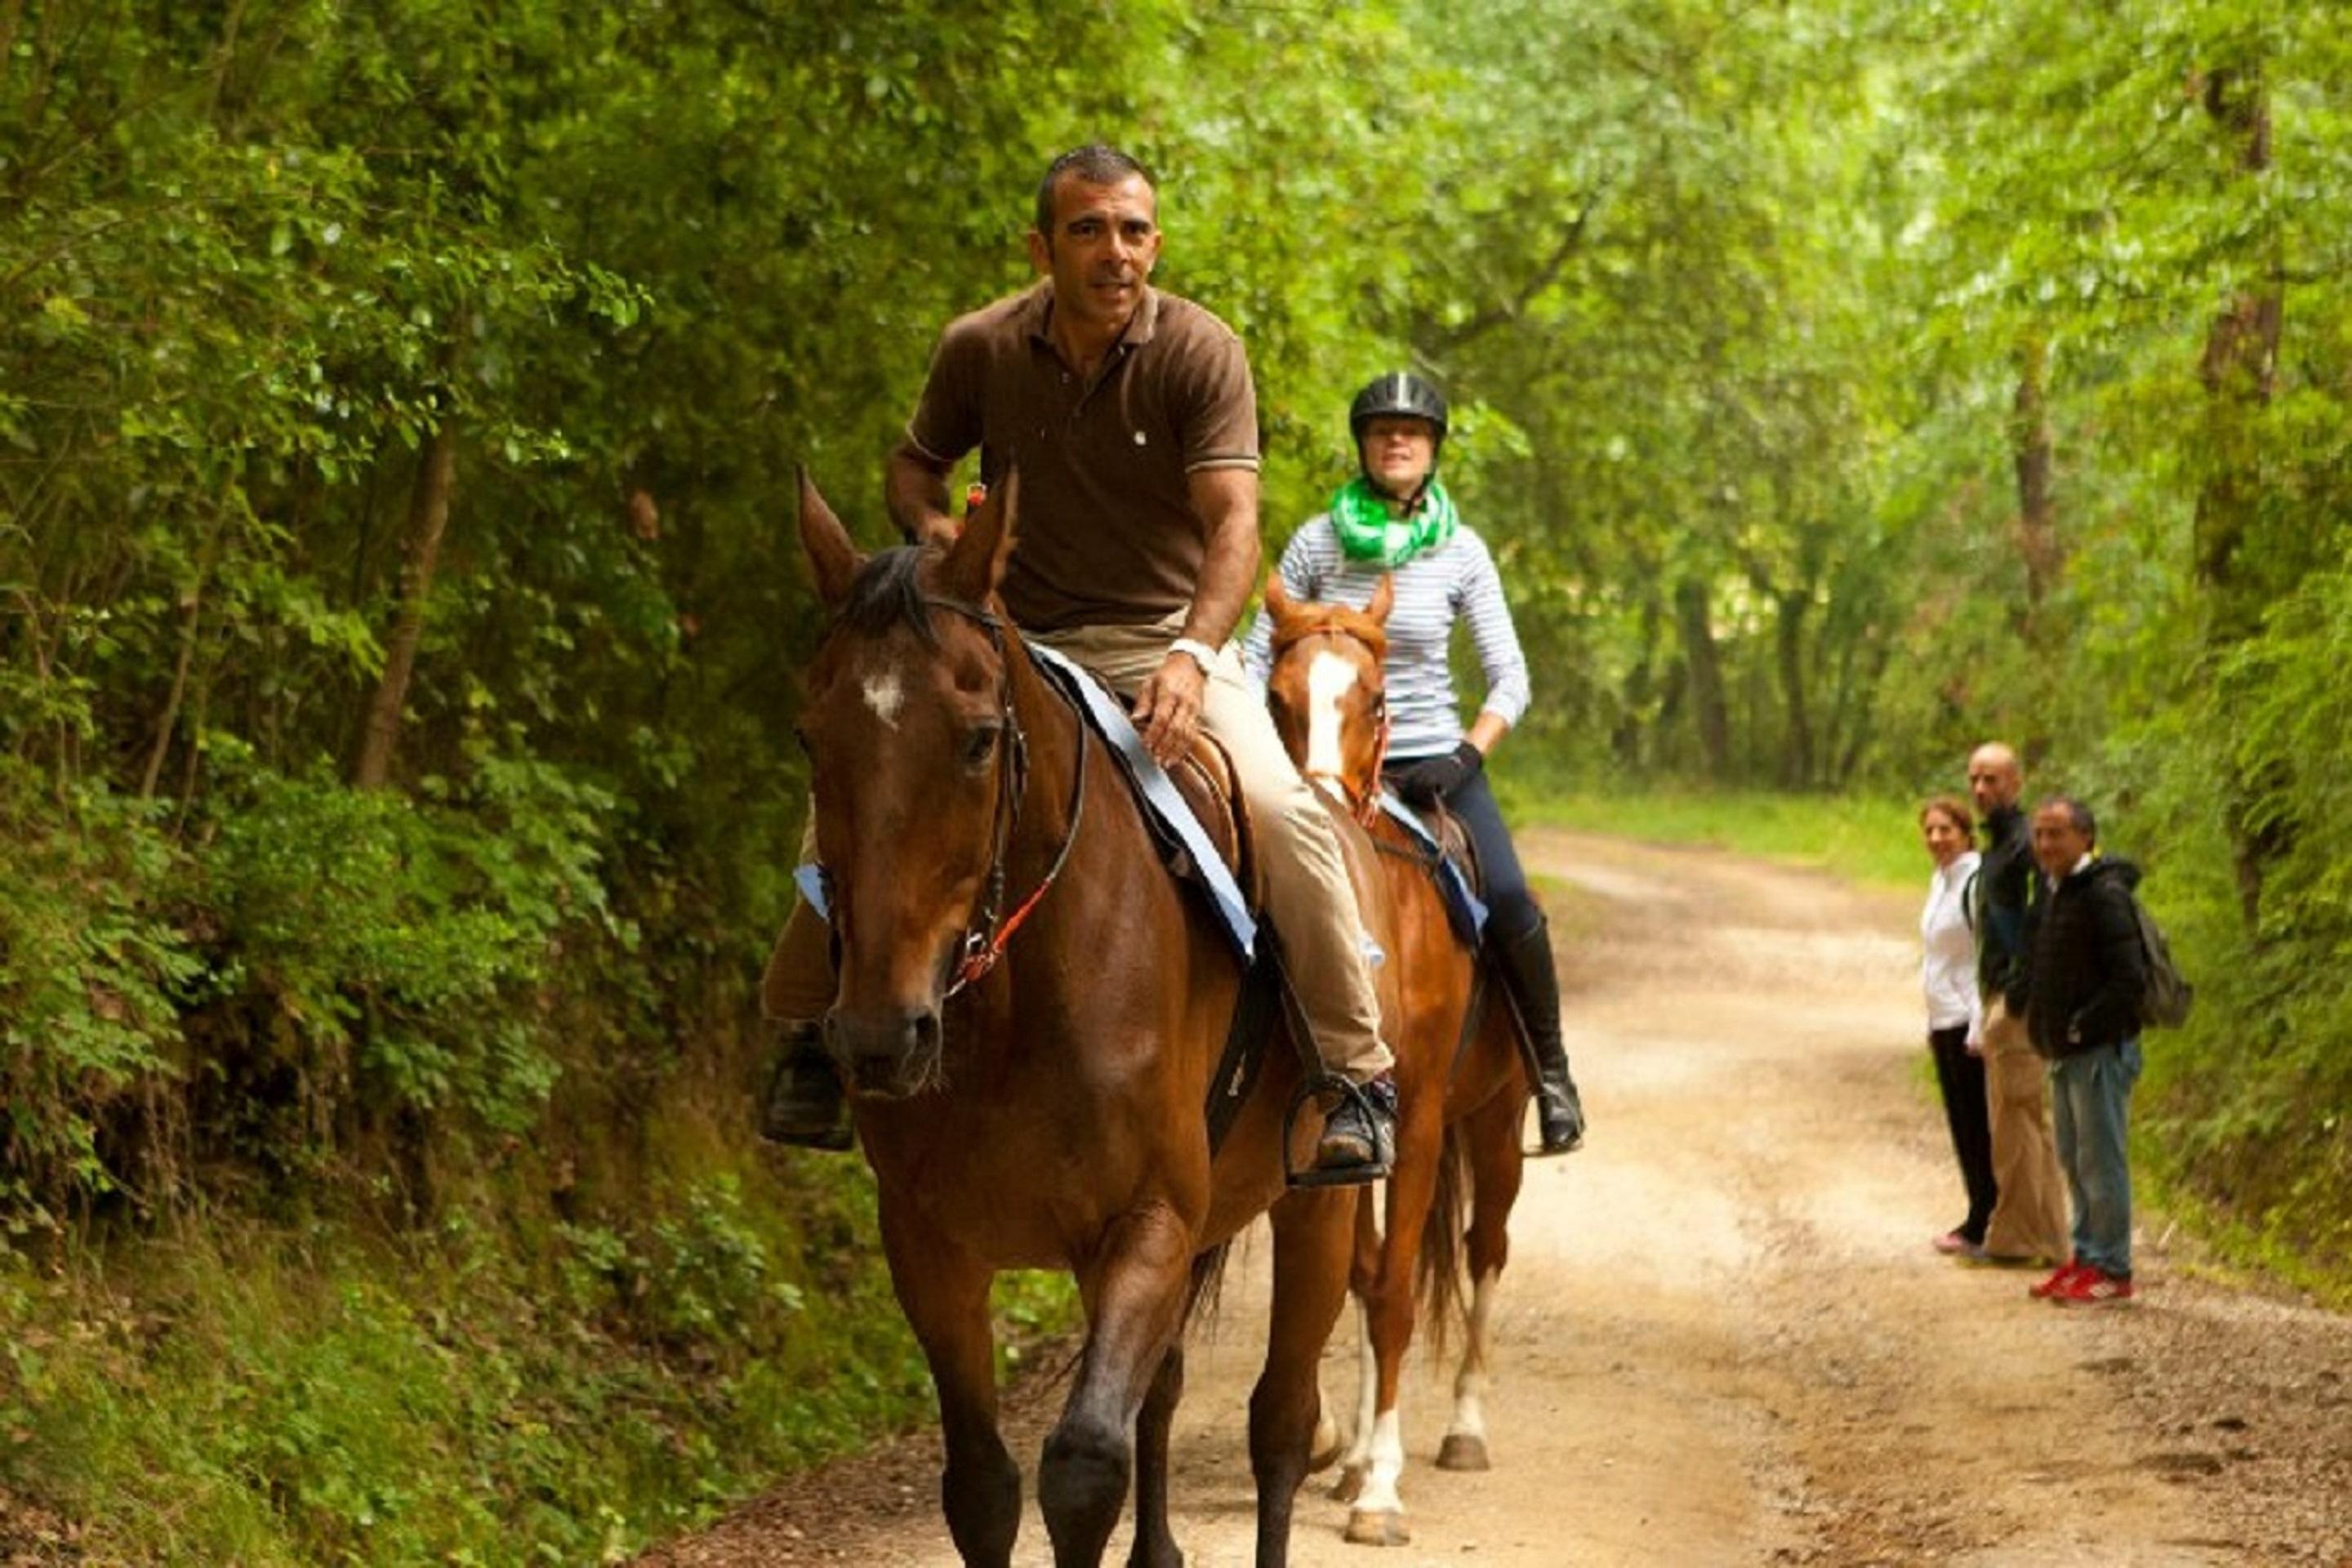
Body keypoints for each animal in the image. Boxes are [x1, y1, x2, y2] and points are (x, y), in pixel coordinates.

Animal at [795, 479, 1373, 1568]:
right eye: (813, 738)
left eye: (979, 739)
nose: (880, 1037)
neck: (1014, 1005)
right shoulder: (928, 1243)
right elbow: (982, 1486)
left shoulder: (1145, 1226)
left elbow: (1082, 1468)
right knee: (1170, 1392)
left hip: (1317, 1203)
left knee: (1280, 1425)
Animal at [1260, 573, 1533, 1542]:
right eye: (1277, 698)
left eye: (1377, 700)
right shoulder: (1336, 1131)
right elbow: (1362, 1274)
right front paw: (1347, 1456)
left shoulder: (1415, 1121)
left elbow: (1397, 1296)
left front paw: (1381, 1488)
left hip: (1496, 1121)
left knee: (1486, 1249)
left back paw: (1464, 1429)